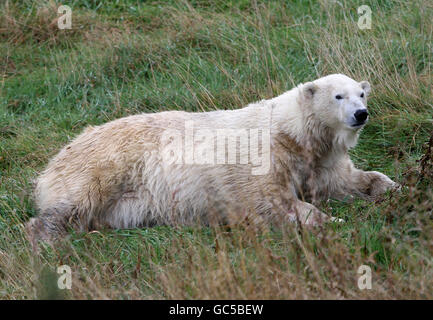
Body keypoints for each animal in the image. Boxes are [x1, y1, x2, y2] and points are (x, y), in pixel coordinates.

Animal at [26, 74, 398, 244]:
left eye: (361, 93)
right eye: (338, 96)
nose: (361, 114)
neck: (291, 132)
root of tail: (57, 156)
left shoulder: (320, 161)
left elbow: (346, 180)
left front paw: (394, 188)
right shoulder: (263, 158)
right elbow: (274, 201)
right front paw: (333, 221)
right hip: (105, 165)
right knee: (74, 202)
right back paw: (48, 237)